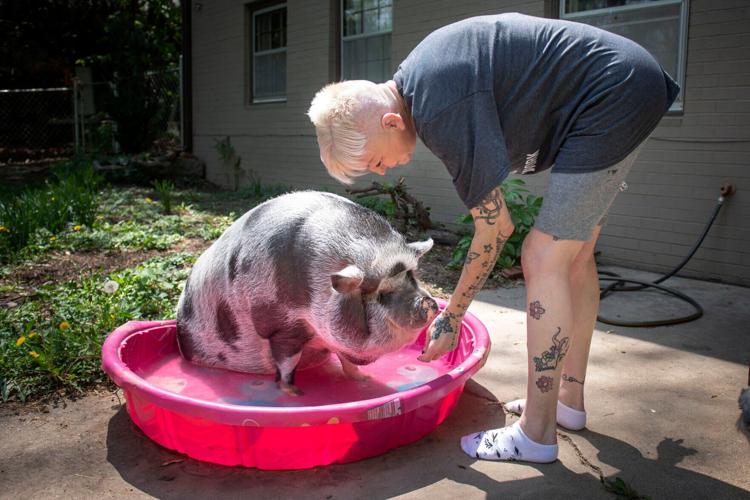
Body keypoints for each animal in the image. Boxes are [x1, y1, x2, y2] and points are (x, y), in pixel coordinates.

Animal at [175, 191, 439, 395]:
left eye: (412, 277)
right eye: (383, 293)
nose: (429, 302)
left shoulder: (332, 338)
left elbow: (347, 363)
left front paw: (364, 380)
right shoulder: (281, 326)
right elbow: (286, 361)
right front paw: (294, 392)